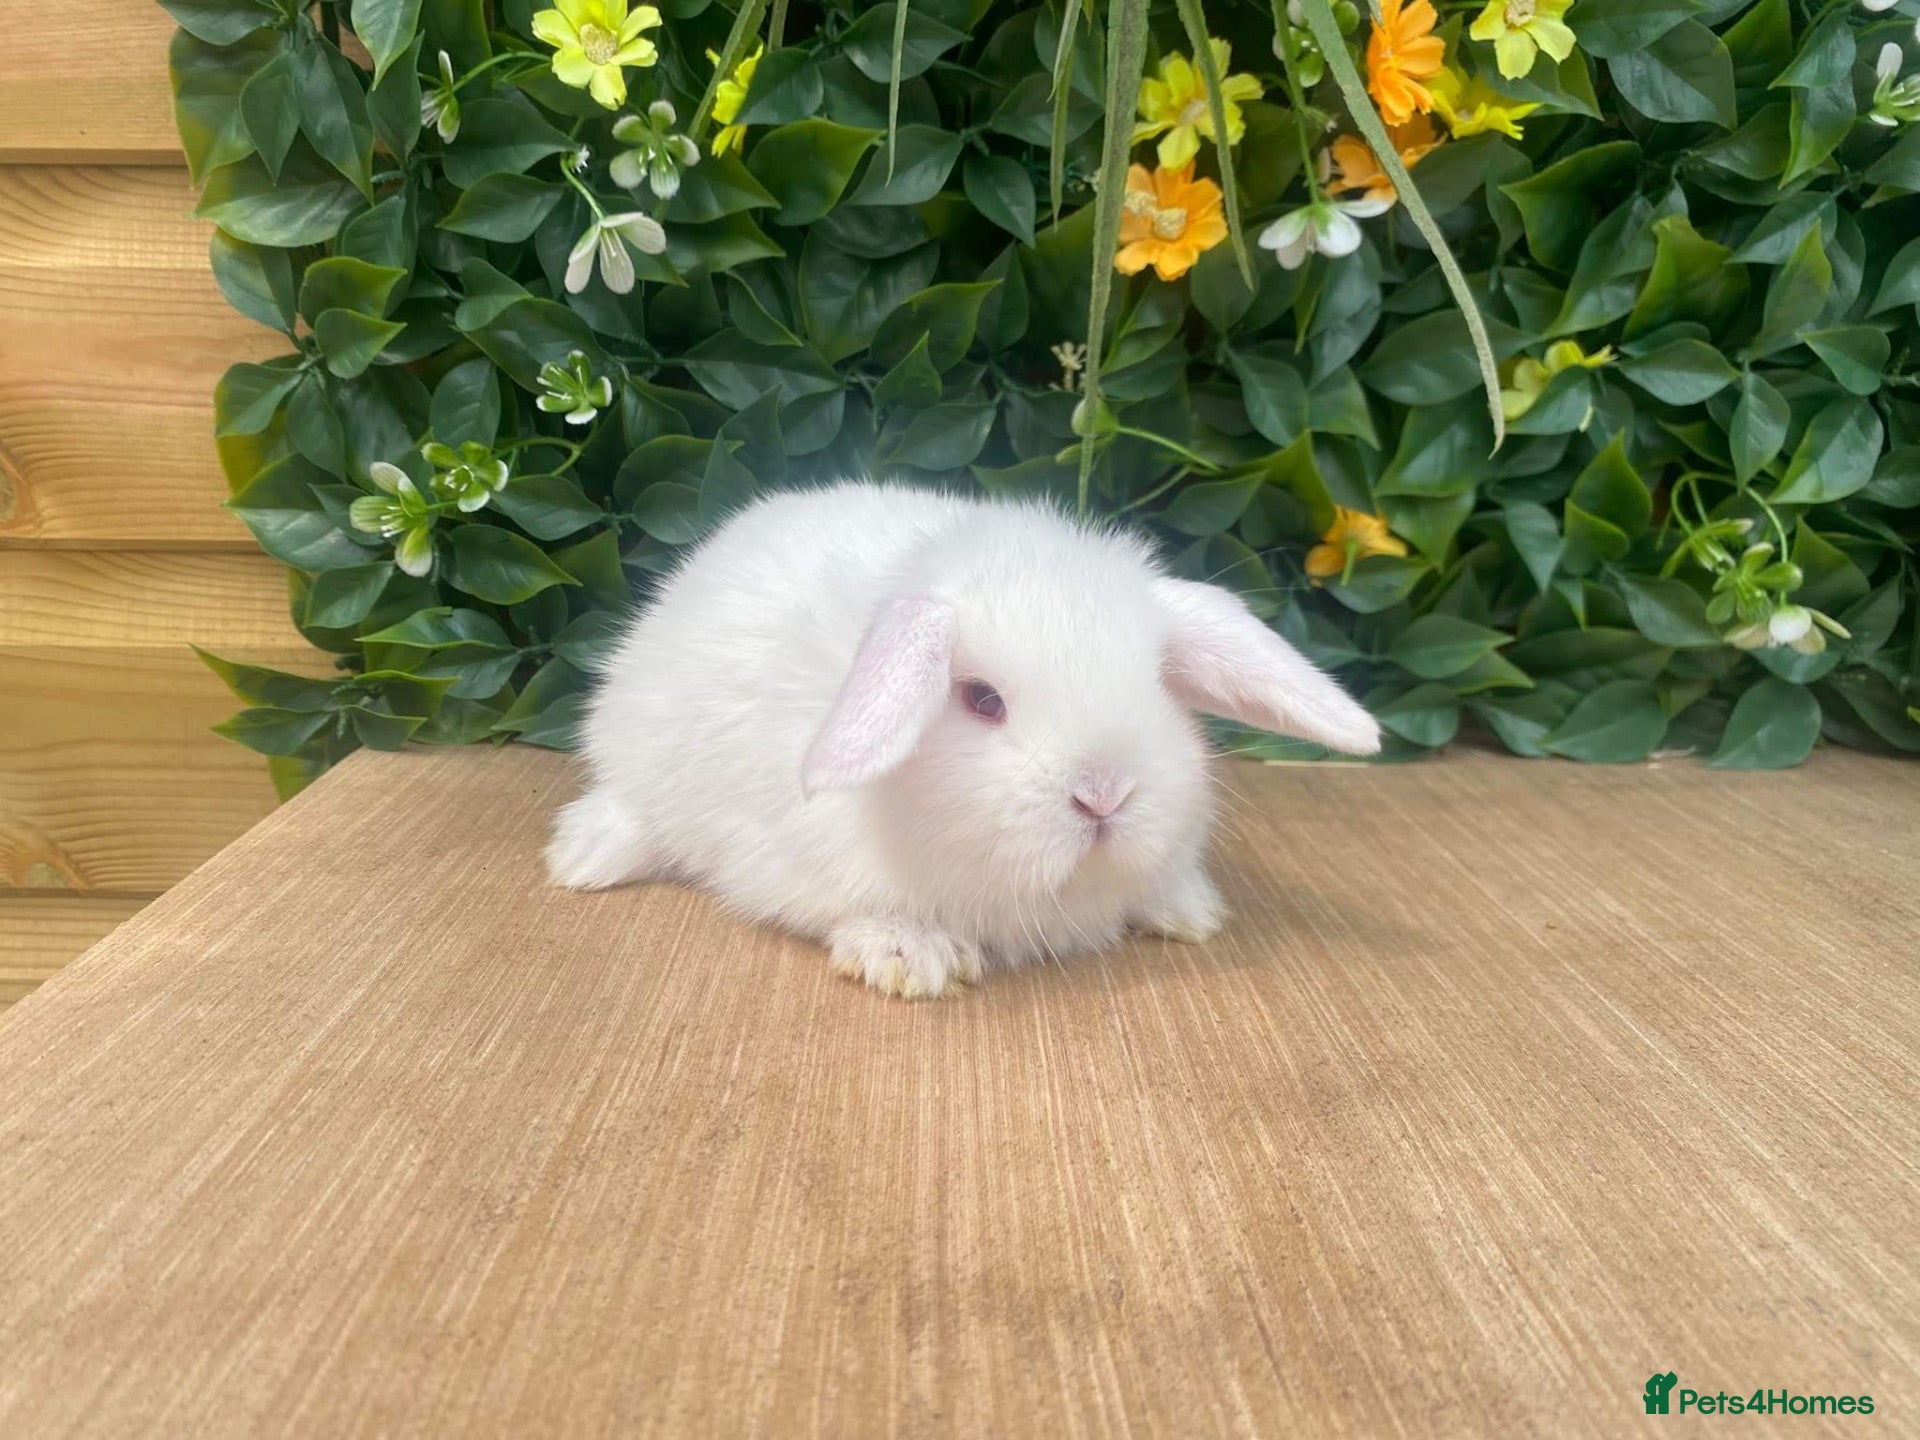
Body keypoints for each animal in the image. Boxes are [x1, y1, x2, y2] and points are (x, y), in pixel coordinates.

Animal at [548, 480, 1380, 997]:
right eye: (982, 700)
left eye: (1157, 685)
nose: (1104, 794)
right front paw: (909, 956)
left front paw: (1188, 911)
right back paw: (581, 859)